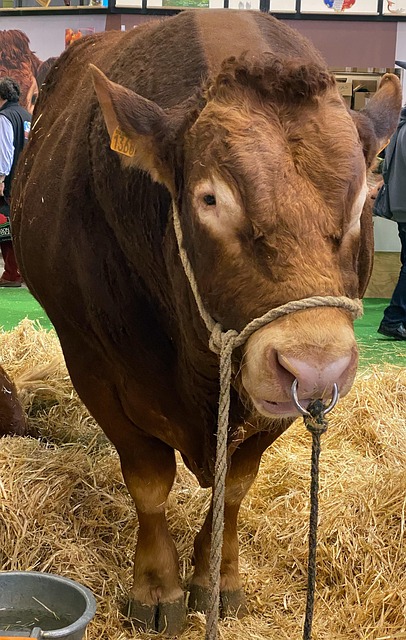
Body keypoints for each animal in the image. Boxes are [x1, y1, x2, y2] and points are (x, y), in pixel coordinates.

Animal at [12, 9, 402, 635]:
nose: (315, 366)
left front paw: (218, 578)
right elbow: (149, 482)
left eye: (362, 196)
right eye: (210, 198)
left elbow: (235, 487)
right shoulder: (93, 365)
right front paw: (157, 587)